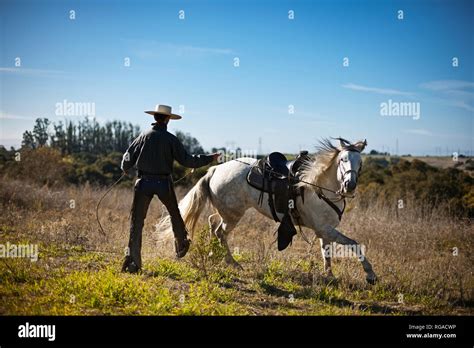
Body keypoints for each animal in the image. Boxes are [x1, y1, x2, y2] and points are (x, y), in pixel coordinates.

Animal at [158, 137, 378, 284]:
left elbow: (327, 253)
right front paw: (370, 275)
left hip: (226, 212)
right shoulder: (325, 229)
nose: (350, 185)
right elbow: (355, 244)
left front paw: (330, 276)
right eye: (342, 160)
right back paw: (232, 263)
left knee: (213, 223)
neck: (318, 186)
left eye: (360, 162)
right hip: (233, 215)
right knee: (220, 231)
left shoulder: (325, 230)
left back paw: (214, 255)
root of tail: (215, 170)